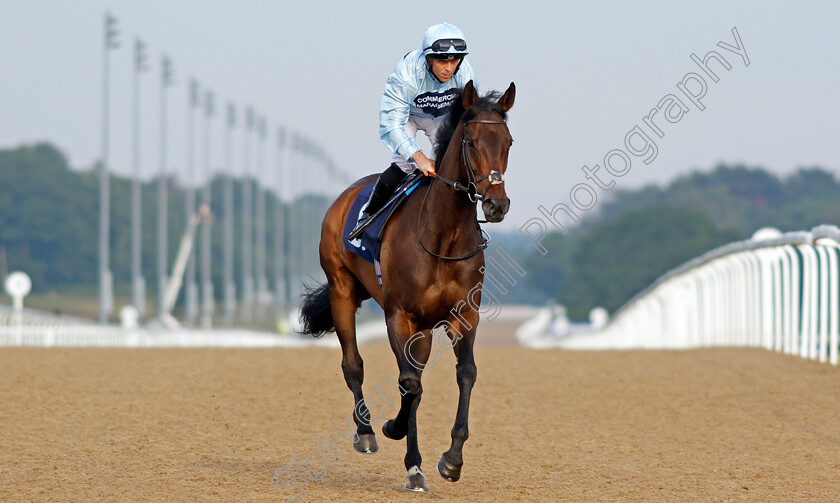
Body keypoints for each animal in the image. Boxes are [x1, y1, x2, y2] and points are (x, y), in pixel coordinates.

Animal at [298, 80, 516, 494]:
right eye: (471, 142)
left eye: (508, 141)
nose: (497, 205)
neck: (443, 235)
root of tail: (345, 196)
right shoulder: (400, 316)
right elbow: (410, 384)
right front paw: (408, 457)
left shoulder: (464, 316)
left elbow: (464, 374)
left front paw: (452, 459)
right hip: (341, 290)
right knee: (353, 364)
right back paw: (366, 431)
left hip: (425, 329)